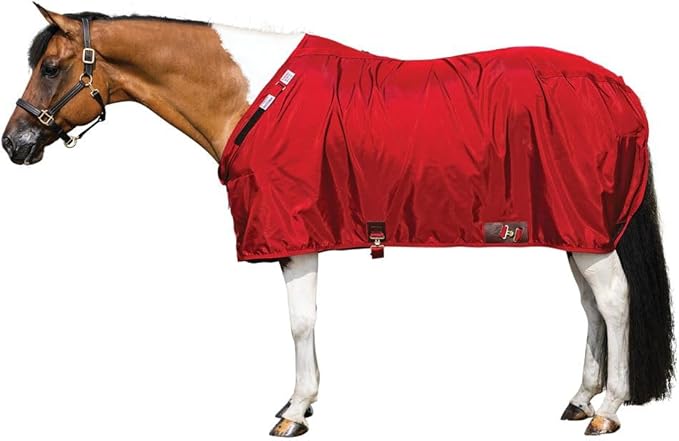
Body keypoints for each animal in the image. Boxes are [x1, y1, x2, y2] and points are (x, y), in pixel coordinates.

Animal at [1, 4, 673, 437]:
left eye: (52, 67)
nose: (15, 143)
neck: (253, 96)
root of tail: (618, 87)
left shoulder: (296, 236)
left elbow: (300, 323)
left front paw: (294, 411)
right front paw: (303, 402)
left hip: (587, 230)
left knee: (613, 301)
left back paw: (609, 408)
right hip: (575, 229)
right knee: (591, 305)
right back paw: (580, 399)